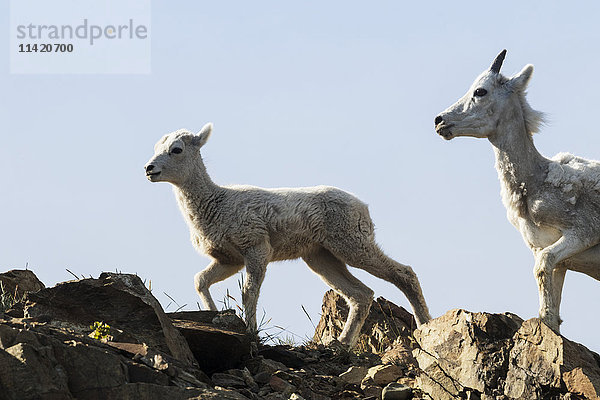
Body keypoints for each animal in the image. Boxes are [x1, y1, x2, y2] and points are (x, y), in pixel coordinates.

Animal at [144, 123, 432, 346]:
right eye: (157, 147)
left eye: (176, 149)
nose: (149, 169)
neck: (216, 203)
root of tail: (363, 206)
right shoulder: (229, 259)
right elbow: (200, 281)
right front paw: (214, 314)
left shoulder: (256, 248)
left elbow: (249, 292)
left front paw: (252, 332)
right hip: (321, 257)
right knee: (361, 294)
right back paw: (341, 343)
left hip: (353, 244)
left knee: (403, 273)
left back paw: (425, 325)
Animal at [434, 49, 596, 332]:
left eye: (481, 91)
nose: (440, 121)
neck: (536, 180)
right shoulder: (559, 259)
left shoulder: (581, 234)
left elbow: (541, 269)